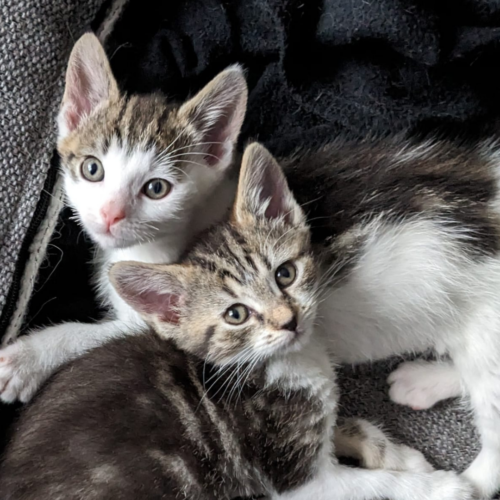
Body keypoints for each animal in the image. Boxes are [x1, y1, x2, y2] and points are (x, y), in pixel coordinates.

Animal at [0, 144, 472, 500]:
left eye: (285, 274)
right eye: (236, 314)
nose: (288, 320)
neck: (293, 363)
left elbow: (343, 423)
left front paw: (395, 453)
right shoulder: (302, 481)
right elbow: (372, 485)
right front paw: (437, 486)